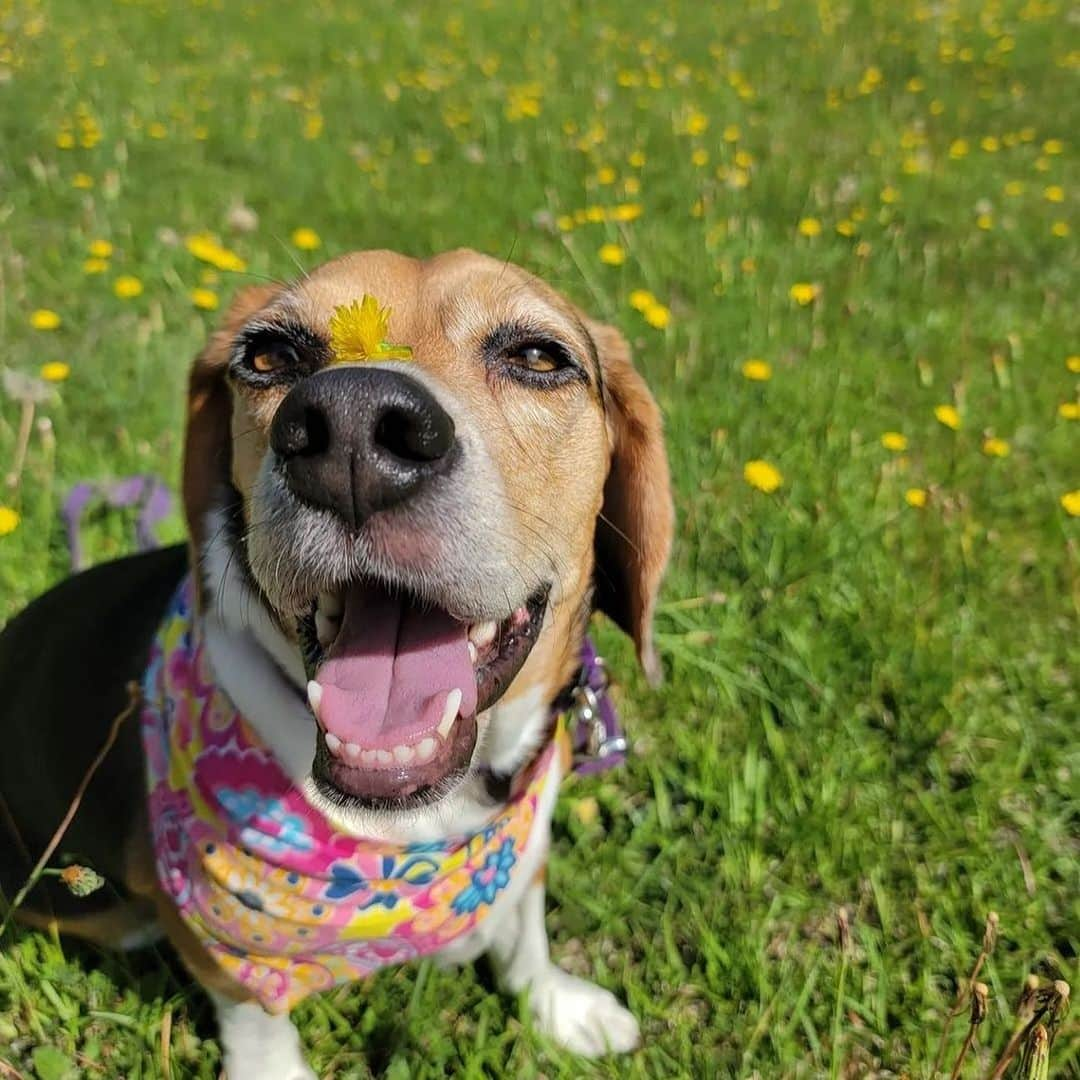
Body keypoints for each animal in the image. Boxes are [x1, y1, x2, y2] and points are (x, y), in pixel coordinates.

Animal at [0, 248, 669, 1075]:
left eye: (539, 356)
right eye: (267, 356)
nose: (353, 428)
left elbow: (526, 927)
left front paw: (554, 1005)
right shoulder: (223, 942)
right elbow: (256, 1020)